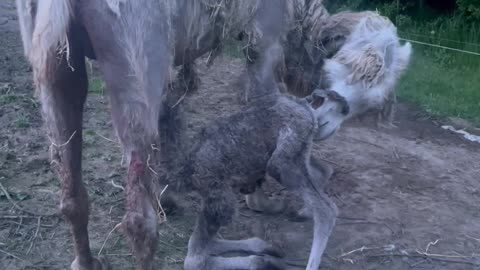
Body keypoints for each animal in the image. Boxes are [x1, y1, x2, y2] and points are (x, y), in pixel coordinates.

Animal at [162, 89, 348, 270]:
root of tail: (304, 105)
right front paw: (268, 250)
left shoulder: (217, 200)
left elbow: (195, 260)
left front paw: (264, 260)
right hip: (300, 153)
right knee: (323, 174)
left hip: (280, 163)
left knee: (326, 209)